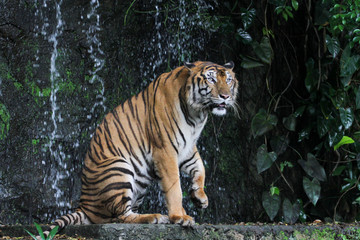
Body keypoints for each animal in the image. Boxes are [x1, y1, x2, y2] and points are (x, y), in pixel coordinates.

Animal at [41, 60, 239, 238]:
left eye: (228, 80)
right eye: (211, 79)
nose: (226, 96)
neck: (197, 114)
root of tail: (84, 205)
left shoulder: (187, 148)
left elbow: (200, 168)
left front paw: (200, 198)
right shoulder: (165, 150)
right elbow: (174, 187)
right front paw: (179, 217)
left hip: (140, 182)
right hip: (119, 167)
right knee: (119, 217)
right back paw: (155, 217)